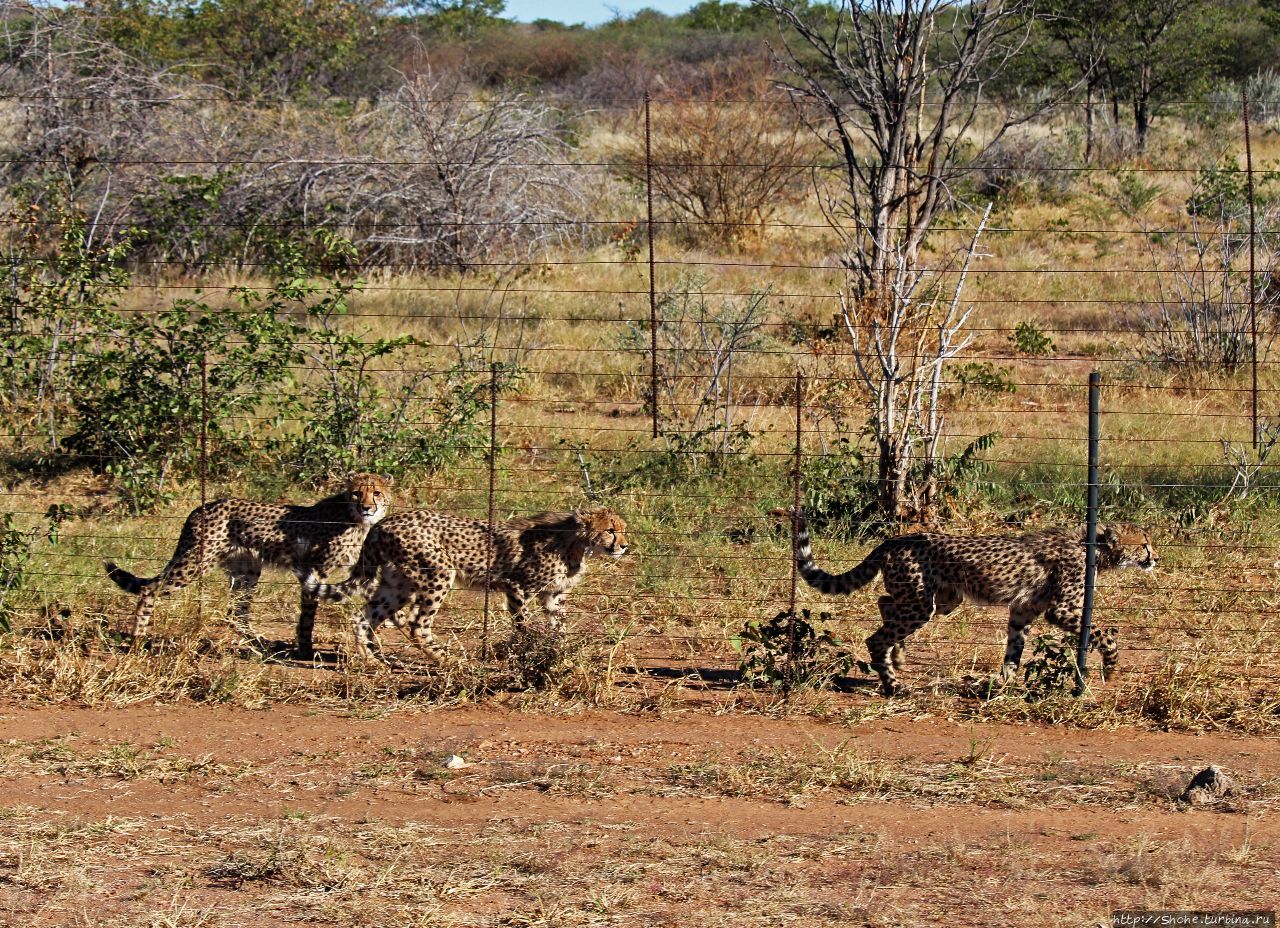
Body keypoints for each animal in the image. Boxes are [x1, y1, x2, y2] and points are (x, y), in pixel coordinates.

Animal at [106, 471, 389, 652]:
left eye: (376, 493)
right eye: (356, 494)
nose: (367, 507)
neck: (352, 517)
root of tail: (202, 507)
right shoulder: (315, 570)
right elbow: (309, 613)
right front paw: (306, 647)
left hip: (247, 570)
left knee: (235, 613)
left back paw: (261, 644)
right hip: (195, 563)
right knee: (148, 589)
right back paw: (137, 639)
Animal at [309, 506, 629, 660]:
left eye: (623, 529)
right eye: (610, 530)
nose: (625, 546)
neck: (574, 542)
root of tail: (381, 523)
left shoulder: (552, 597)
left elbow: (559, 627)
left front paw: (559, 652)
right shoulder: (516, 586)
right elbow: (523, 625)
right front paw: (526, 651)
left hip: (397, 584)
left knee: (362, 618)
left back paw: (374, 663)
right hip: (438, 573)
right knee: (416, 623)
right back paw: (448, 661)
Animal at [773, 506, 1157, 696]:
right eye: (1143, 544)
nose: (1155, 557)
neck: (1091, 546)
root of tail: (897, 538)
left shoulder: (1023, 609)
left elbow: (1014, 650)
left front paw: (1001, 685)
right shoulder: (1061, 610)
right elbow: (1103, 633)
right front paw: (1111, 667)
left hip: (941, 600)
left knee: (884, 603)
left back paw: (898, 658)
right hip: (922, 603)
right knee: (876, 637)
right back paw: (893, 685)